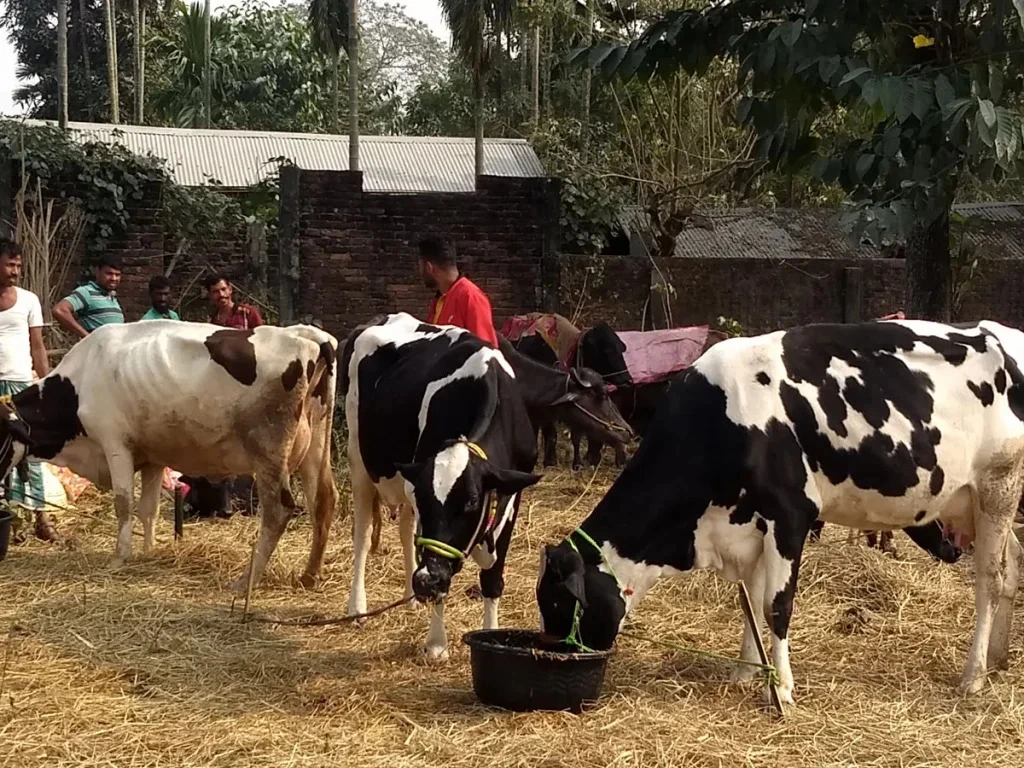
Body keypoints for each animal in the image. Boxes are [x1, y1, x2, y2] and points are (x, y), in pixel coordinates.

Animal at [0, 319, 335, 589]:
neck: (80, 380)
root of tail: (306, 335)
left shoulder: (114, 443)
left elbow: (124, 504)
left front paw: (120, 557)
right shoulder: (152, 456)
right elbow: (148, 509)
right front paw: (149, 552)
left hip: (268, 453)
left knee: (278, 510)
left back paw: (246, 581)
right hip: (315, 446)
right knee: (324, 501)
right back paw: (309, 576)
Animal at [344, 313, 544, 663]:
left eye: (472, 501)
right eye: (428, 499)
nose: (426, 581)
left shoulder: (512, 493)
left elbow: (492, 578)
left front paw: (491, 634)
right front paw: (437, 643)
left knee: (405, 531)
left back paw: (410, 597)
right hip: (360, 462)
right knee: (363, 536)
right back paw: (358, 608)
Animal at [536, 319, 1024, 708]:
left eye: (560, 602)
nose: (556, 656)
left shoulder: (790, 516)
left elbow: (776, 605)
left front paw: (782, 688)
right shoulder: (747, 525)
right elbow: (749, 602)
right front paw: (746, 671)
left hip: (998, 486)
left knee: (991, 578)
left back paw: (974, 676)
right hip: (977, 503)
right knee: (1012, 565)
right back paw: (997, 658)